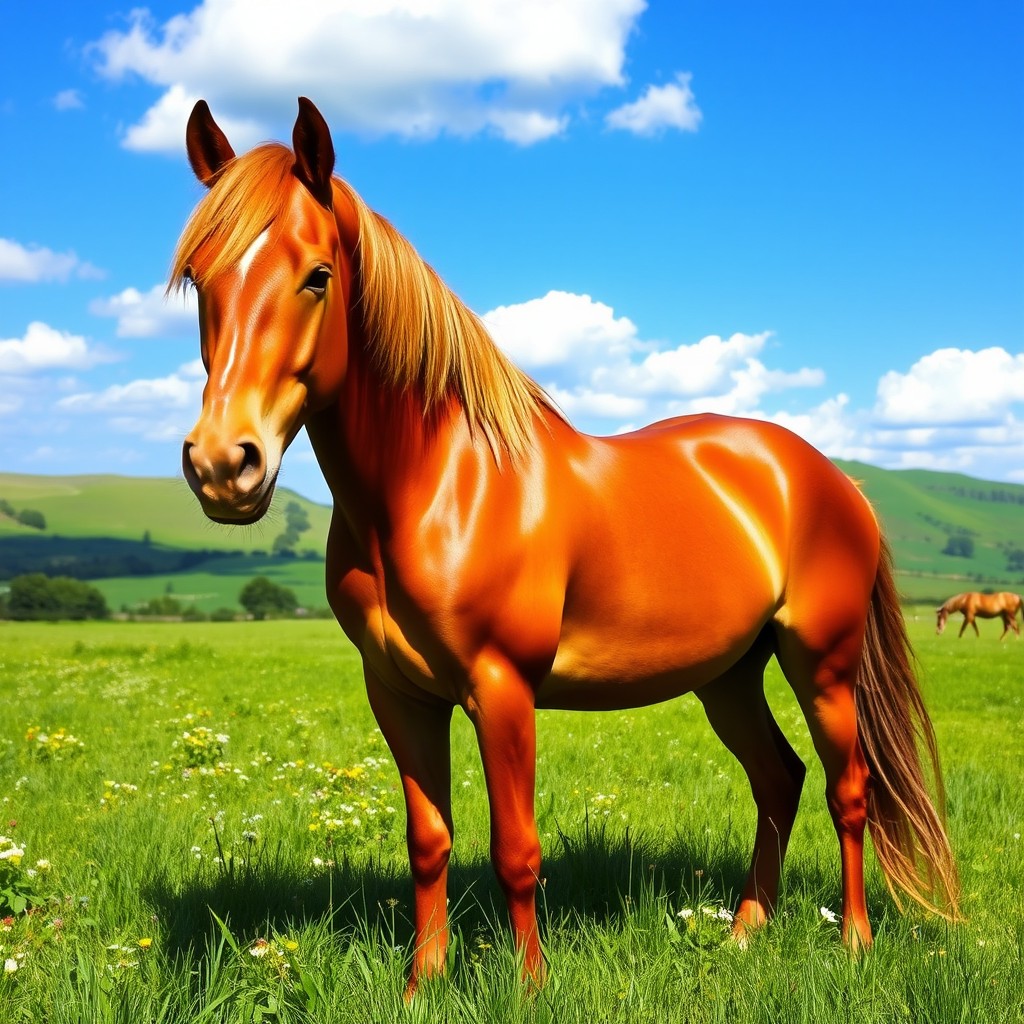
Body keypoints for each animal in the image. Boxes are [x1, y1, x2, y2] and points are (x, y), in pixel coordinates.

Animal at [174, 98, 959, 995]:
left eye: (317, 276)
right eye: (199, 278)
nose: (222, 464)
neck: (440, 487)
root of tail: (829, 478)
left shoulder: (502, 688)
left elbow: (516, 849)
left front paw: (527, 987)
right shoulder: (400, 695)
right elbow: (428, 842)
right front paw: (421, 985)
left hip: (822, 663)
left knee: (846, 789)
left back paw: (855, 941)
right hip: (729, 675)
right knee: (779, 779)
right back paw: (744, 932)